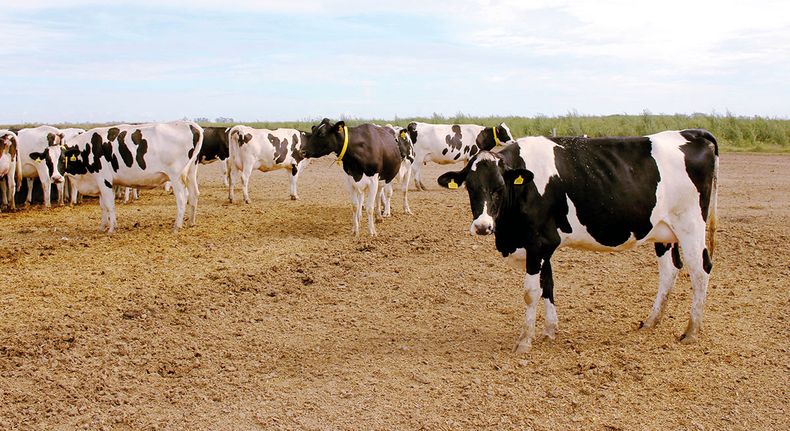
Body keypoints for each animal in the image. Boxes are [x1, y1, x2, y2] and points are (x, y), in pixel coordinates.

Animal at [61, 121, 203, 233]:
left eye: (62, 159)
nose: (57, 177)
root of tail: (190, 124)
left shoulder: (104, 181)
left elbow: (110, 205)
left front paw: (111, 229)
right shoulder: (101, 184)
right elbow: (103, 206)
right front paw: (102, 227)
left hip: (176, 175)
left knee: (182, 198)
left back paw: (177, 226)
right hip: (191, 172)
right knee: (194, 194)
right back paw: (191, 222)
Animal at [437, 129, 719, 354]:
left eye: (499, 188)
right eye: (470, 187)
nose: (482, 226)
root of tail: (692, 133)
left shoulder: (536, 244)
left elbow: (531, 293)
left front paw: (524, 341)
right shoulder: (544, 245)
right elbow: (548, 285)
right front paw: (550, 331)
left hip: (691, 225)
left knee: (700, 271)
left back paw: (692, 331)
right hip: (663, 232)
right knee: (670, 271)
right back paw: (652, 321)